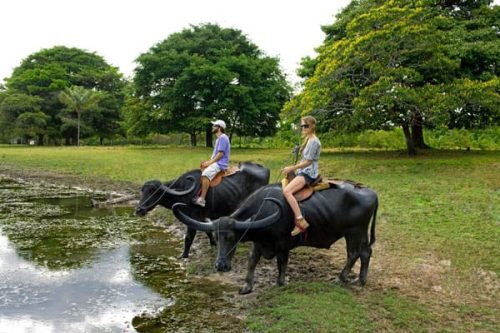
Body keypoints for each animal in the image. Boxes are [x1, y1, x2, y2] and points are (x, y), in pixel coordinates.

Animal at [135, 161, 270, 256]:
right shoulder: (201, 217)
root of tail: (265, 169)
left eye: (154, 191)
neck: (184, 192)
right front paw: (214, 243)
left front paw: (183, 255)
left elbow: (188, 238)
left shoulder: (192, 218)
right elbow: (207, 230)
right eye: (143, 190)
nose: (139, 210)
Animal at [173, 182, 378, 294]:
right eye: (216, 237)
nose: (221, 266)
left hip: (354, 232)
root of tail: (371, 193)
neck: (265, 210)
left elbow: (282, 263)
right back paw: (359, 280)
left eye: (232, 238)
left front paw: (280, 283)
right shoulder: (258, 242)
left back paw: (342, 278)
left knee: (355, 253)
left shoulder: (283, 244)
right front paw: (246, 286)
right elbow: (252, 261)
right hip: (357, 233)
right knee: (365, 252)